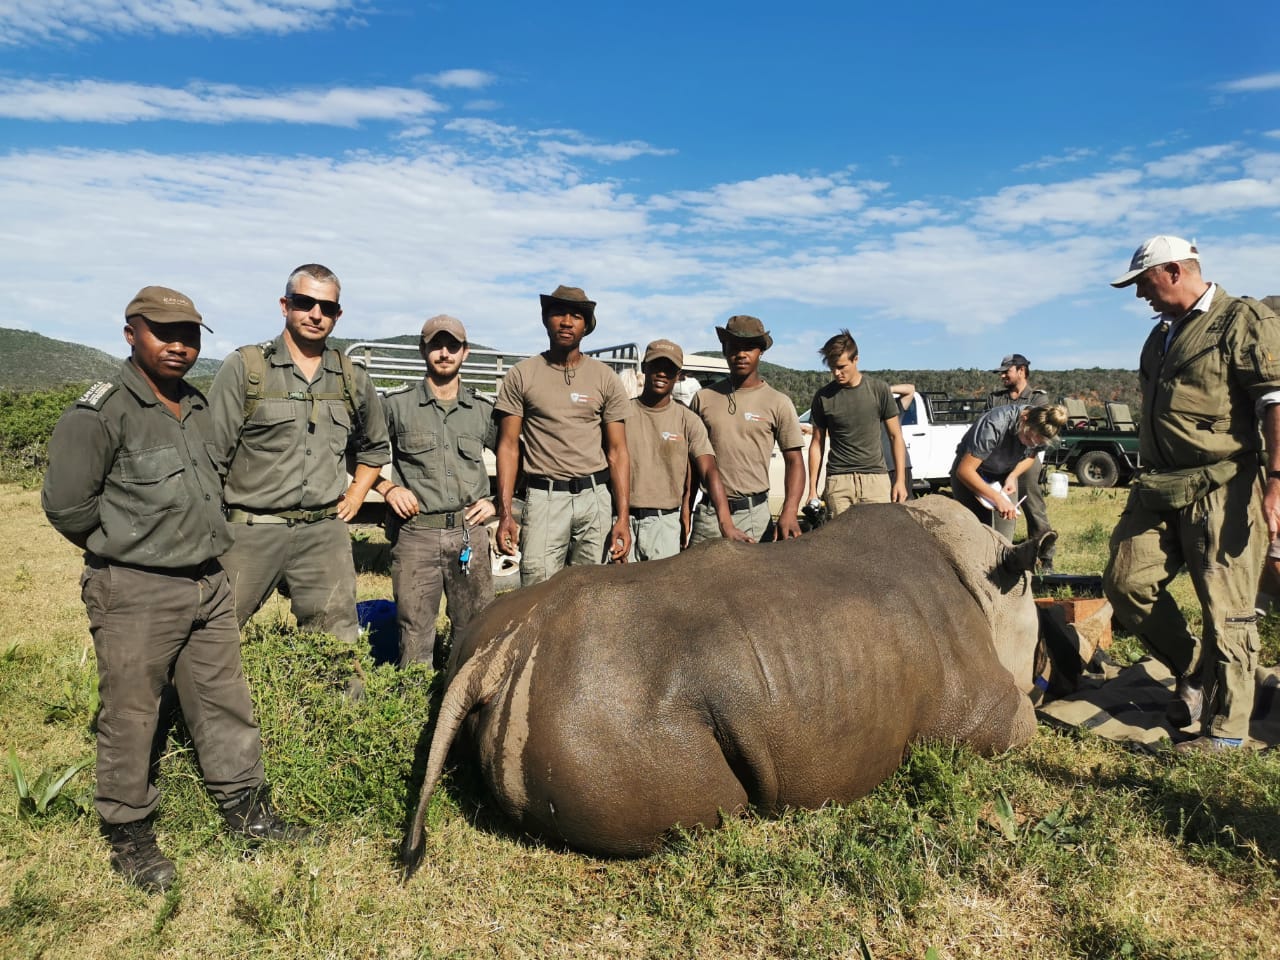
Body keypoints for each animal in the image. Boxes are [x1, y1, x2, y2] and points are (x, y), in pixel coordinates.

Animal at [399, 496, 1049, 870]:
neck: (988, 583)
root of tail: (502, 654)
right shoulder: (983, 711)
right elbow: (1024, 726)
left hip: (499, 648)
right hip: (610, 719)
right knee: (719, 810)